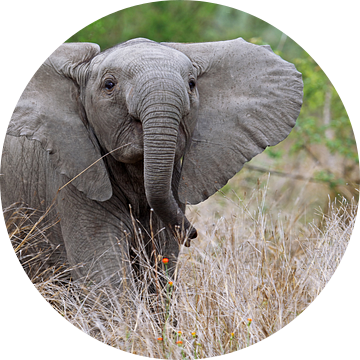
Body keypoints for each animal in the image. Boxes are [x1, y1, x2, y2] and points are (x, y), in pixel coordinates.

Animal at [0, 37, 304, 290]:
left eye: (192, 84)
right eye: (109, 86)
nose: (192, 234)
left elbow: (159, 269)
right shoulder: (71, 179)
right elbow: (105, 278)